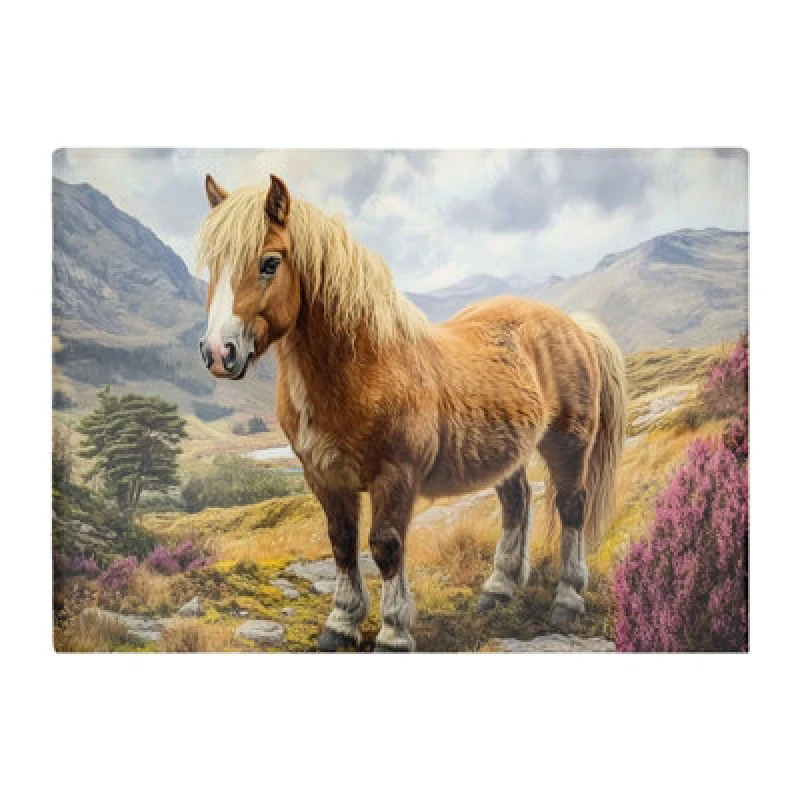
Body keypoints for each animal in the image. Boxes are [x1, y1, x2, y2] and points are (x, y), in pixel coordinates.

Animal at [197, 173, 627, 652]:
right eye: (213, 265)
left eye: (270, 262)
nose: (218, 353)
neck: (364, 368)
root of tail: (573, 325)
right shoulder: (324, 476)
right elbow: (342, 543)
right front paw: (341, 624)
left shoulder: (396, 476)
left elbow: (386, 546)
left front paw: (393, 632)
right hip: (509, 449)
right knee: (517, 502)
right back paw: (499, 589)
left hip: (568, 445)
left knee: (572, 508)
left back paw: (568, 599)